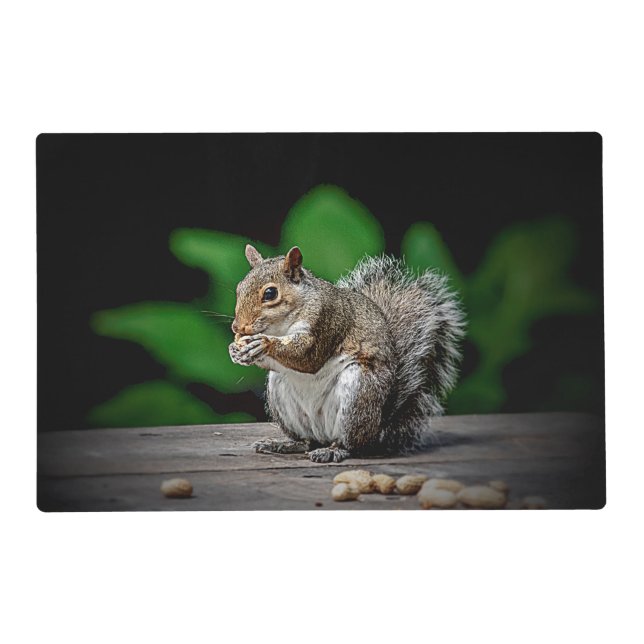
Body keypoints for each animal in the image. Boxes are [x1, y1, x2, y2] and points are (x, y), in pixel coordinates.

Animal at [228, 244, 465, 463]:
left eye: (270, 293)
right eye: (239, 288)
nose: (237, 327)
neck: (280, 326)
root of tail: (378, 428)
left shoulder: (327, 321)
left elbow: (307, 357)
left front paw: (263, 343)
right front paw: (236, 351)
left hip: (358, 394)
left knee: (351, 444)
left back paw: (333, 450)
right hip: (281, 394)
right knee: (306, 441)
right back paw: (284, 444)